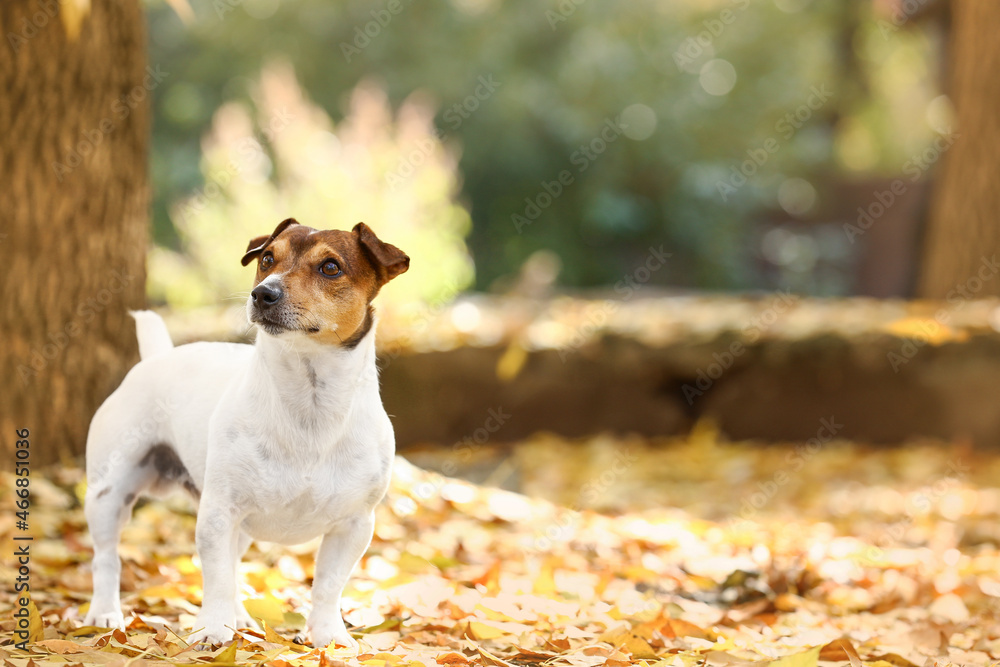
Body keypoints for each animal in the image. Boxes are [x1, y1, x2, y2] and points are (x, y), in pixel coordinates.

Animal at [82, 222, 408, 648]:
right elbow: (217, 578)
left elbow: (328, 585)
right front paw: (212, 631)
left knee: (235, 566)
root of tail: (159, 356)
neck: (309, 408)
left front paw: (329, 637)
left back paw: (240, 619)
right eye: (267, 258)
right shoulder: (219, 514)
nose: (263, 293)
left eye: (331, 267)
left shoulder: (353, 525)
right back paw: (105, 614)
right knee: (107, 558)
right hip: (110, 494)